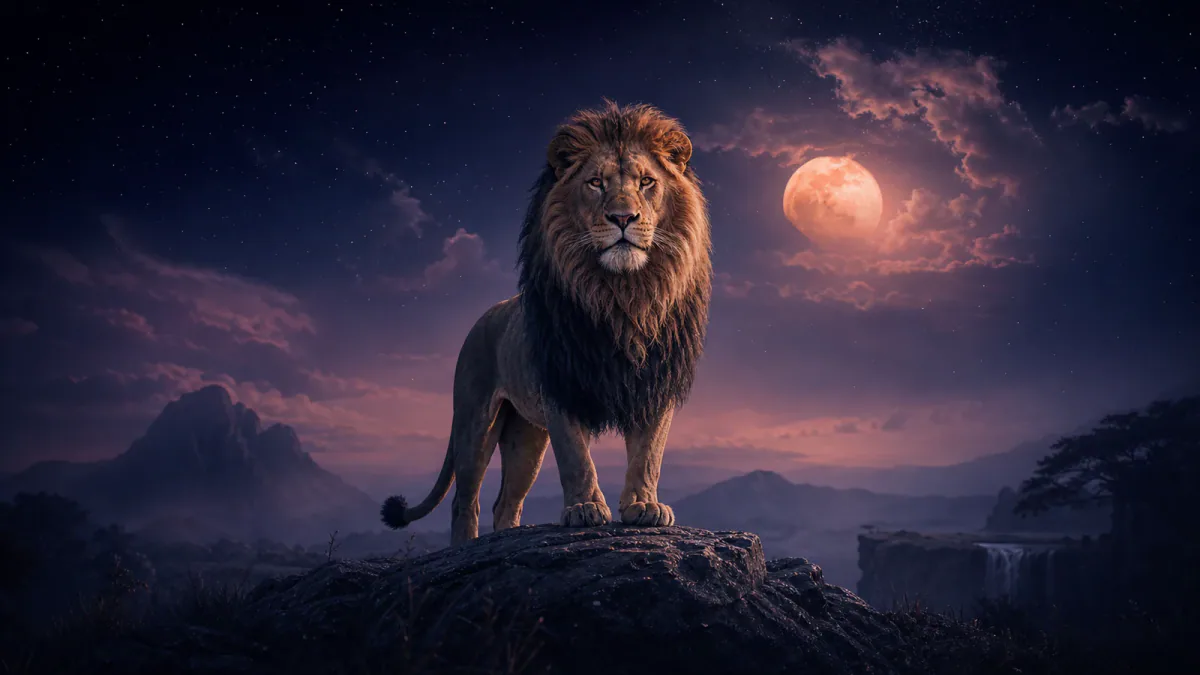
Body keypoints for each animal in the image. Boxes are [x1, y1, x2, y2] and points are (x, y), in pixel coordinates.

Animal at [380, 101, 712, 545]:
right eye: (595, 183)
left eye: (646, 182)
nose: (623, 217)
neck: (623, 295)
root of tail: (483, 317)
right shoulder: (560, 383)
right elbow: (575, 455)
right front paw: (585, 509)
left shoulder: (653, 383)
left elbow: (648, 454)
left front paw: (644, 506)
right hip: (475, 421)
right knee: (464, 500)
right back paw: (465, 547)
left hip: (525, 435)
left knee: (506, 502)